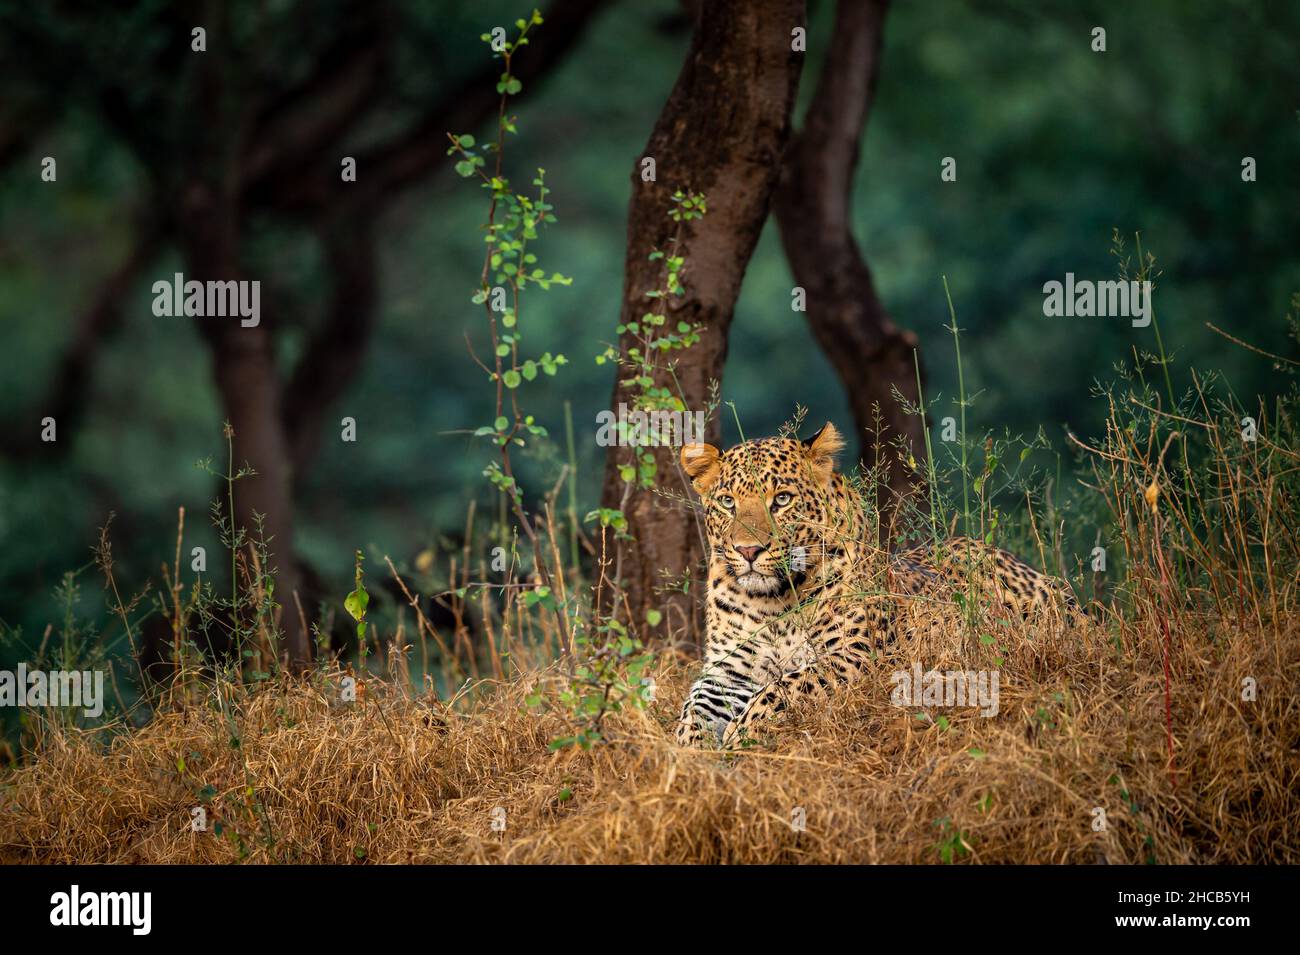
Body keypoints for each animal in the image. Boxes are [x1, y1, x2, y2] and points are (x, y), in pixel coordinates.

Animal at [676, 423, 1081, 748]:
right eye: (727, 502)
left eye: (782, 499)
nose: (747, 550)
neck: (773, 601)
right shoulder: (728, 671)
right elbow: (694, 706)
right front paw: (688, 748)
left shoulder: (857, 657)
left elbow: (787, 686)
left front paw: (741, 732)